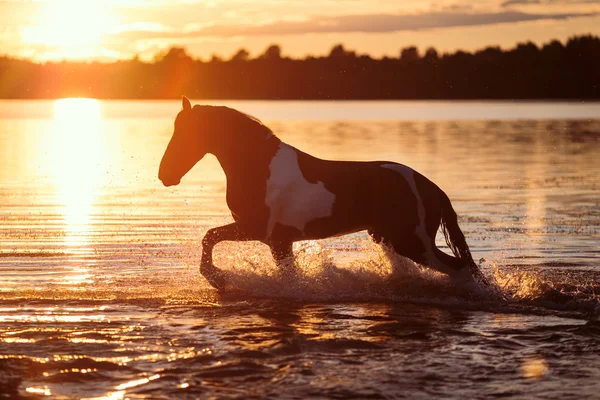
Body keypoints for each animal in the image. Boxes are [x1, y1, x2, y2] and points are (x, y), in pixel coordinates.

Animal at [157, 97, 486, 290]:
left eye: (186, 134)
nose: (164, 175)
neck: (259, 168)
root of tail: (430, 186)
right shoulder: (279, 241)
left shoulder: (257, 230)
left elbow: (209, 237)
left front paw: (217, 278)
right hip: (389, 238)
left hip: (414, 243)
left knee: (460, 268)